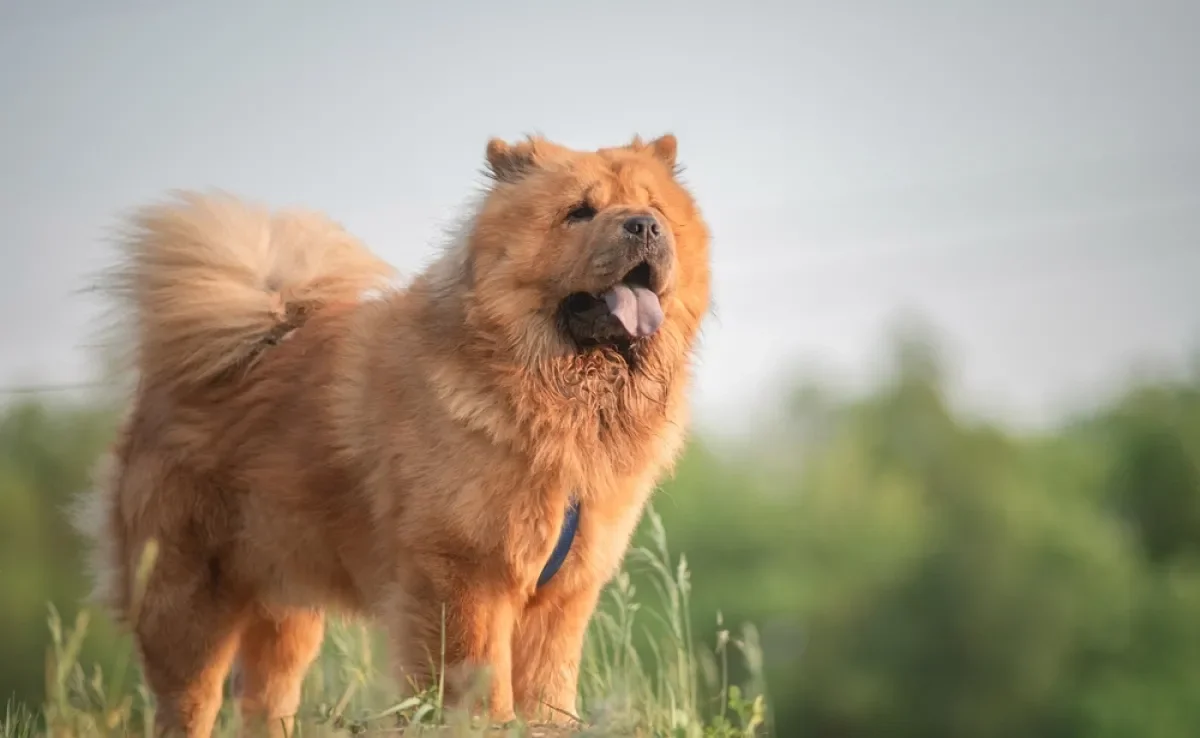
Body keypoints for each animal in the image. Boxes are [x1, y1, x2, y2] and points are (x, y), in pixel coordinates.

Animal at [72, 134, 710, 738]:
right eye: (579, 212)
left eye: (654, 208)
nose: (643, 225)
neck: (557, 392)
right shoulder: (463, 575)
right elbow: (478, 679)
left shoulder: (563, 595)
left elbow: (549, 688)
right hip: (187, 599)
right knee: (187, 702)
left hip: (286, 604)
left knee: (266, 700)